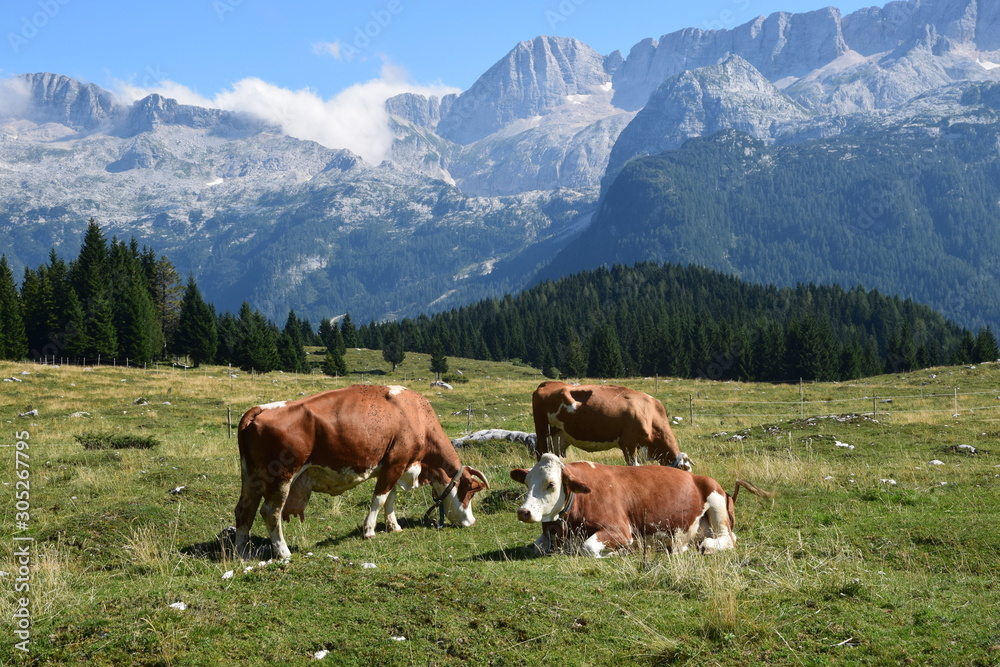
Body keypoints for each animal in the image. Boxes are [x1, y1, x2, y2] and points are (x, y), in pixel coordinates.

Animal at [231, 384, 488, 560]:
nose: (472, 521)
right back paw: (283, 552)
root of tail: (260, 409)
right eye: (470, 492)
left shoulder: (396, 467)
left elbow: (390, 499)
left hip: (251, 477)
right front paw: (369, 530)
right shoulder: (395, 464)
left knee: (244, 510)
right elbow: (379, 499)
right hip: (282, 477)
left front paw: (394, 526)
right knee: (270, 511)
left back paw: (241, 551)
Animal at [508, 454, 772, 560]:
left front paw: (621, 552)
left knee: (722, 540)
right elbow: (538, 547)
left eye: (551, 484)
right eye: (527, 482)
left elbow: (588, 548)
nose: (524, 512)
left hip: (716, 503)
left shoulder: (620, 531)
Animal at [532, 384, 696, 472]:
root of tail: (546, 383)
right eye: (685, 469)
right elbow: (633, 465)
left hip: (558, 436)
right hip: (542, 430)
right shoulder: (628, 442)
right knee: (541, 453)